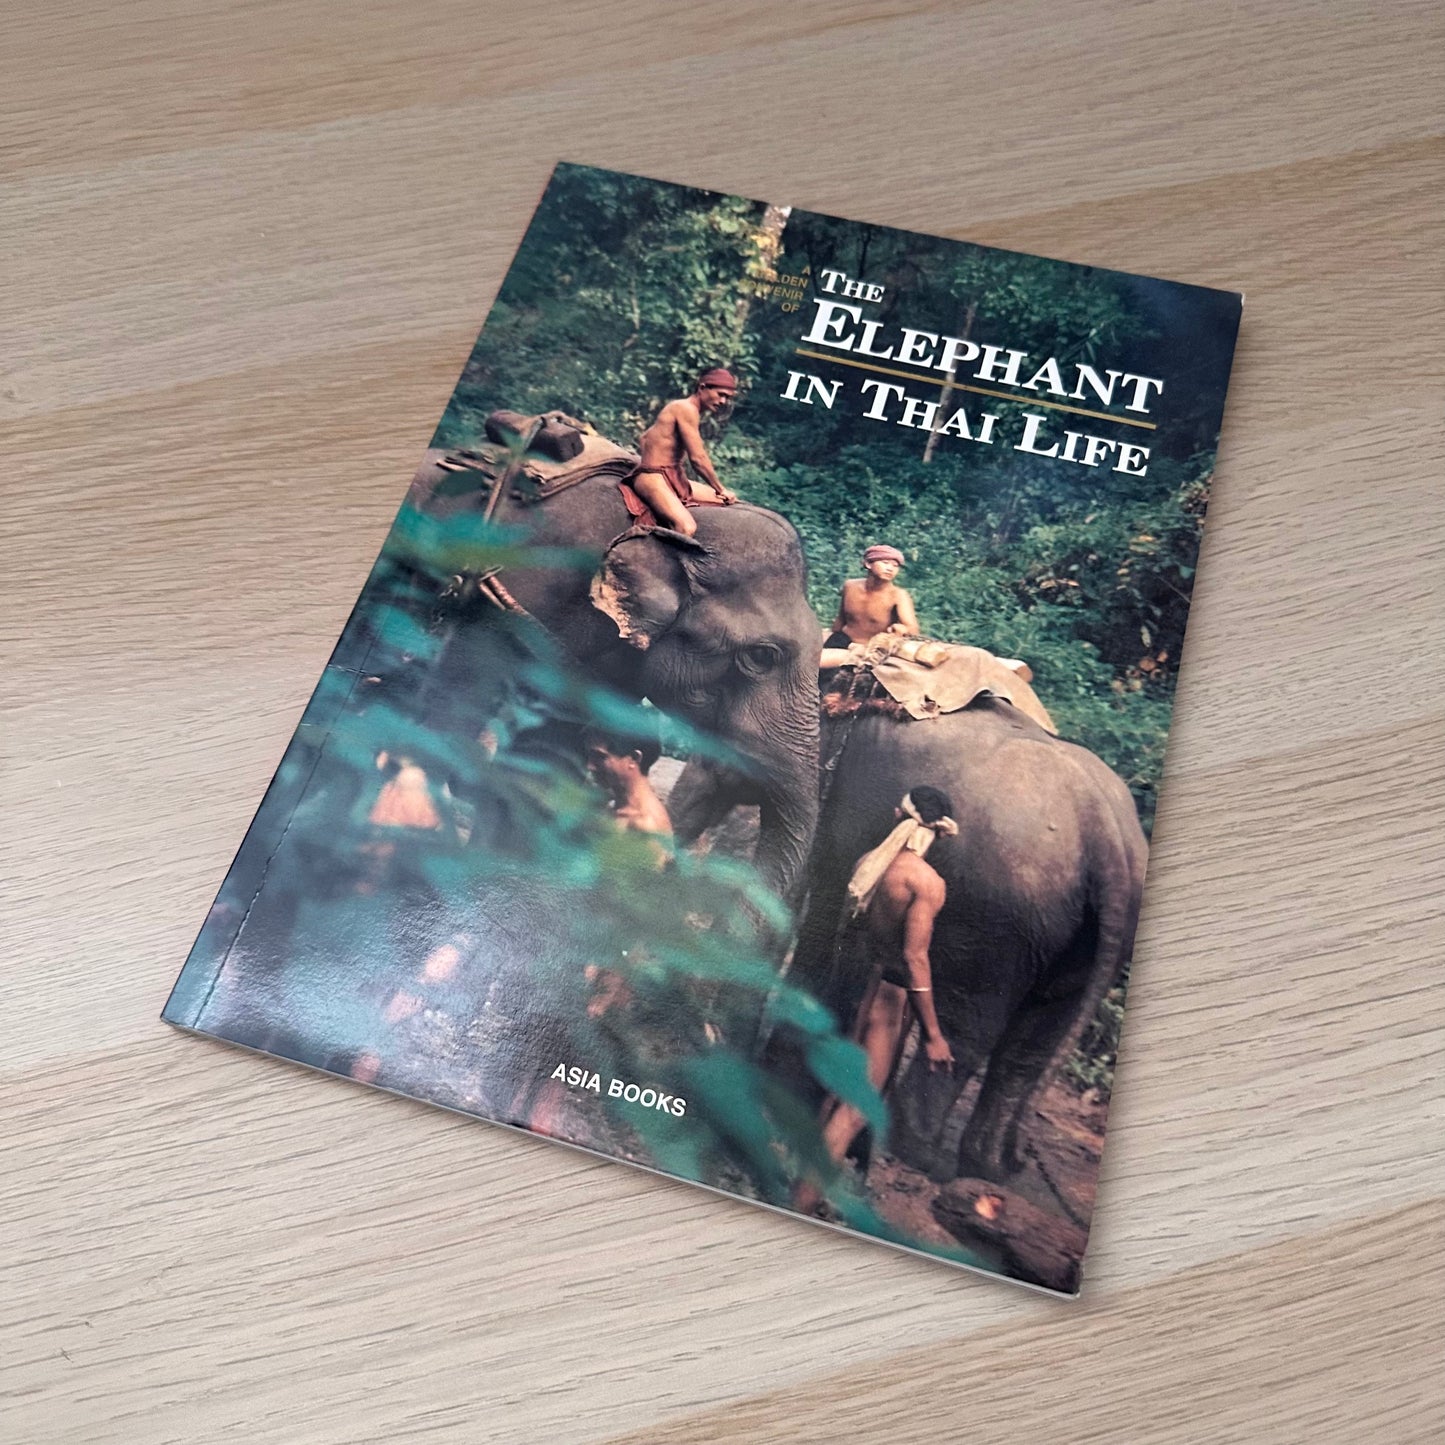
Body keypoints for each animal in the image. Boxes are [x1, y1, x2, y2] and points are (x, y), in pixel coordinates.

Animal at [673, 693, 1146, 1185]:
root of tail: (1109, 841)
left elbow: (823, 905)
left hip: (1003, 917)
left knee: (969, 1022)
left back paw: (919, 1151)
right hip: (1079, 931)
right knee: (1031, 1039)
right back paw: (988, 1167)